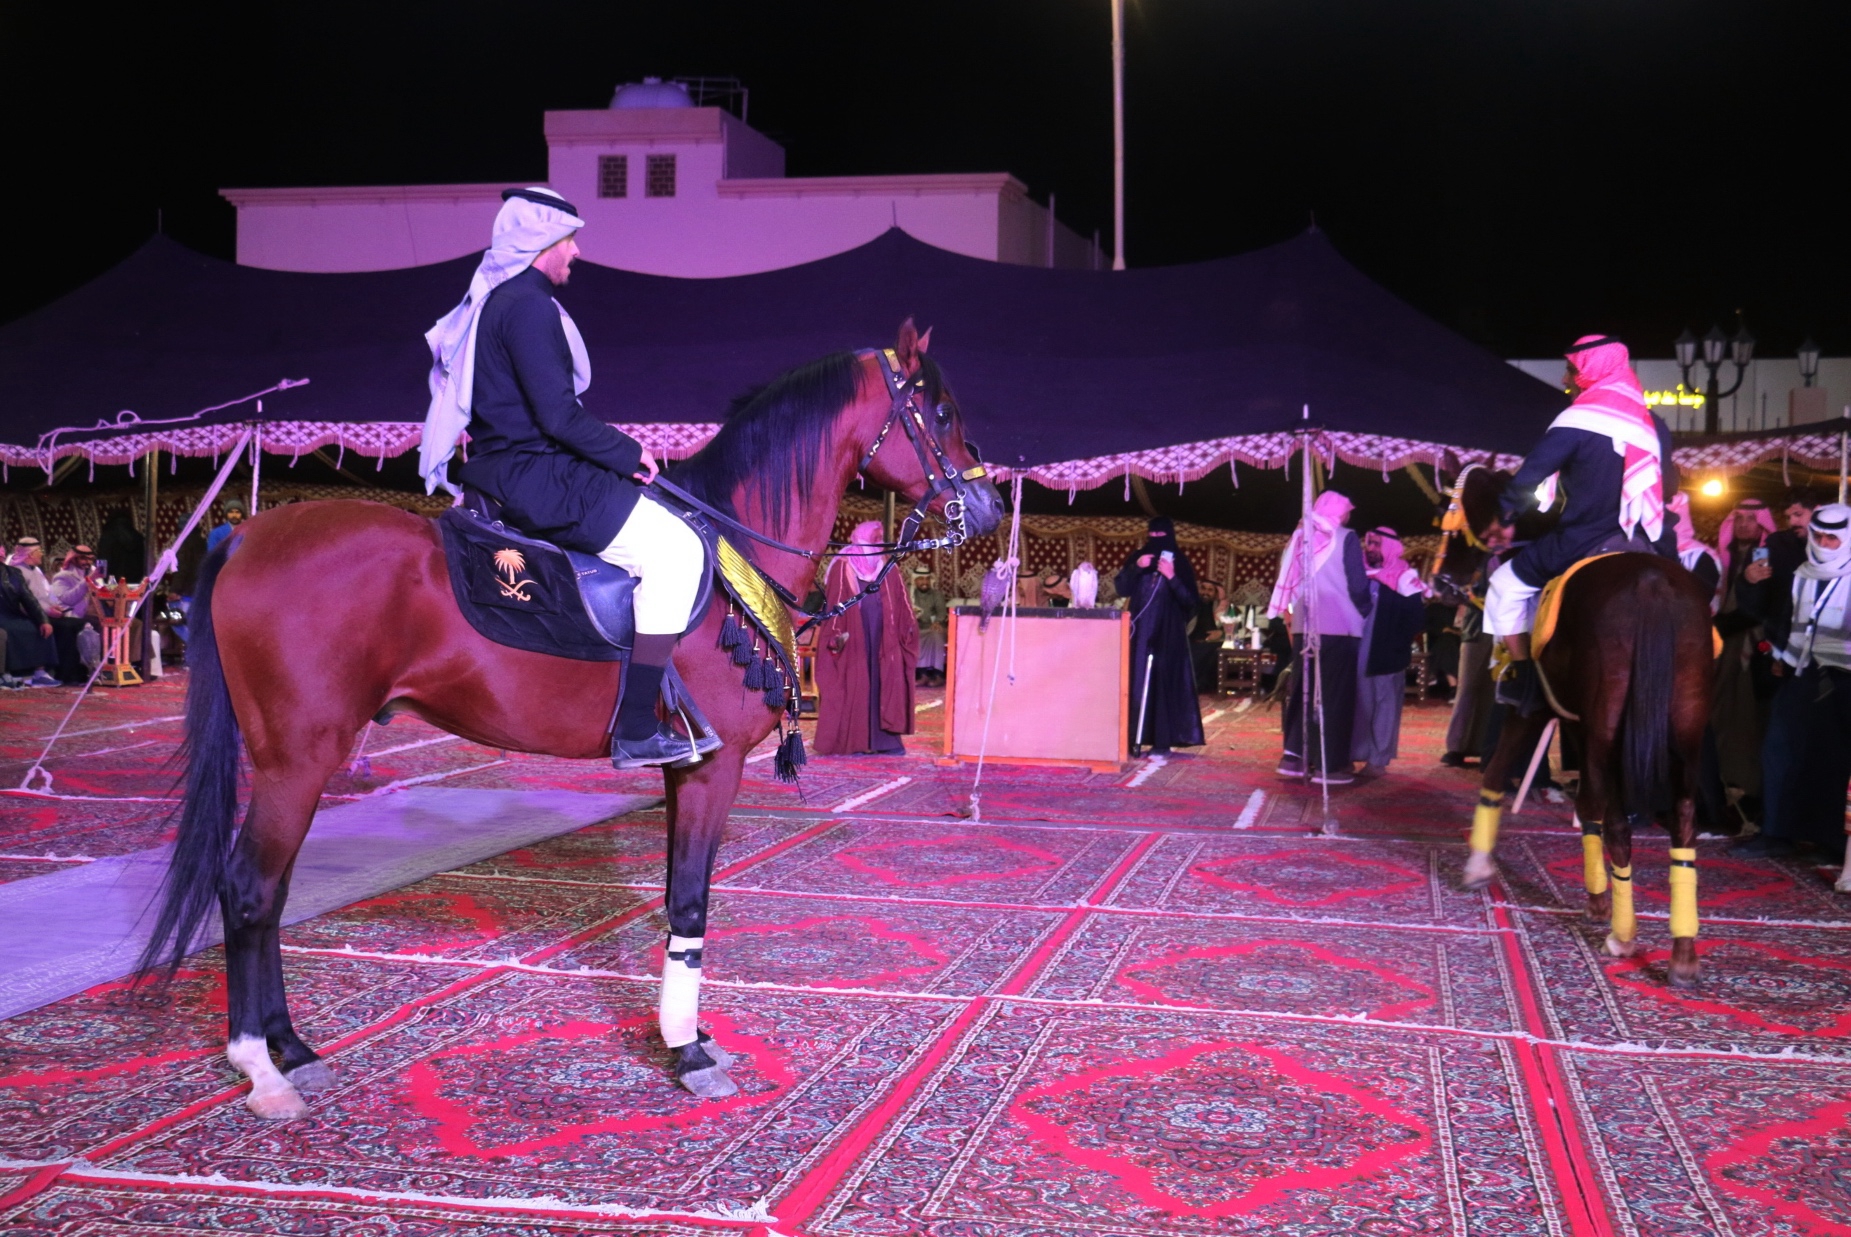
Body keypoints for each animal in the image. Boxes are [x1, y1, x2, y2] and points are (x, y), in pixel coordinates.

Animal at [137, 319, 1005, 1118]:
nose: (988, 504)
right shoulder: (712, 765)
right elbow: (692, 899)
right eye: (936, 409)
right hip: (298, 758)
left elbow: (675, 896)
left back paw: (292, 1045)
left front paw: (686, 1033)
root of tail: (247, 532)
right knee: (250, 888)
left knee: (271, 892)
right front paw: (688, 1052)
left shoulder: (683, 769)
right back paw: (262, 1066)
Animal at [1429, 465, 1714, 986]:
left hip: (1608, 734)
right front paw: (1597, 898)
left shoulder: (1536, 711)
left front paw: (1478, 866)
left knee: (1620, 822)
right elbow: (1588, 806)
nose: (1440, 585)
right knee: (1682, 821)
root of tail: (1651, 583)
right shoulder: (1576, 723)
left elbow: (1496, 774)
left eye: (1449, 519)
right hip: (1681, 733)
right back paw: (1683, 950)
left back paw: (1623, 936)